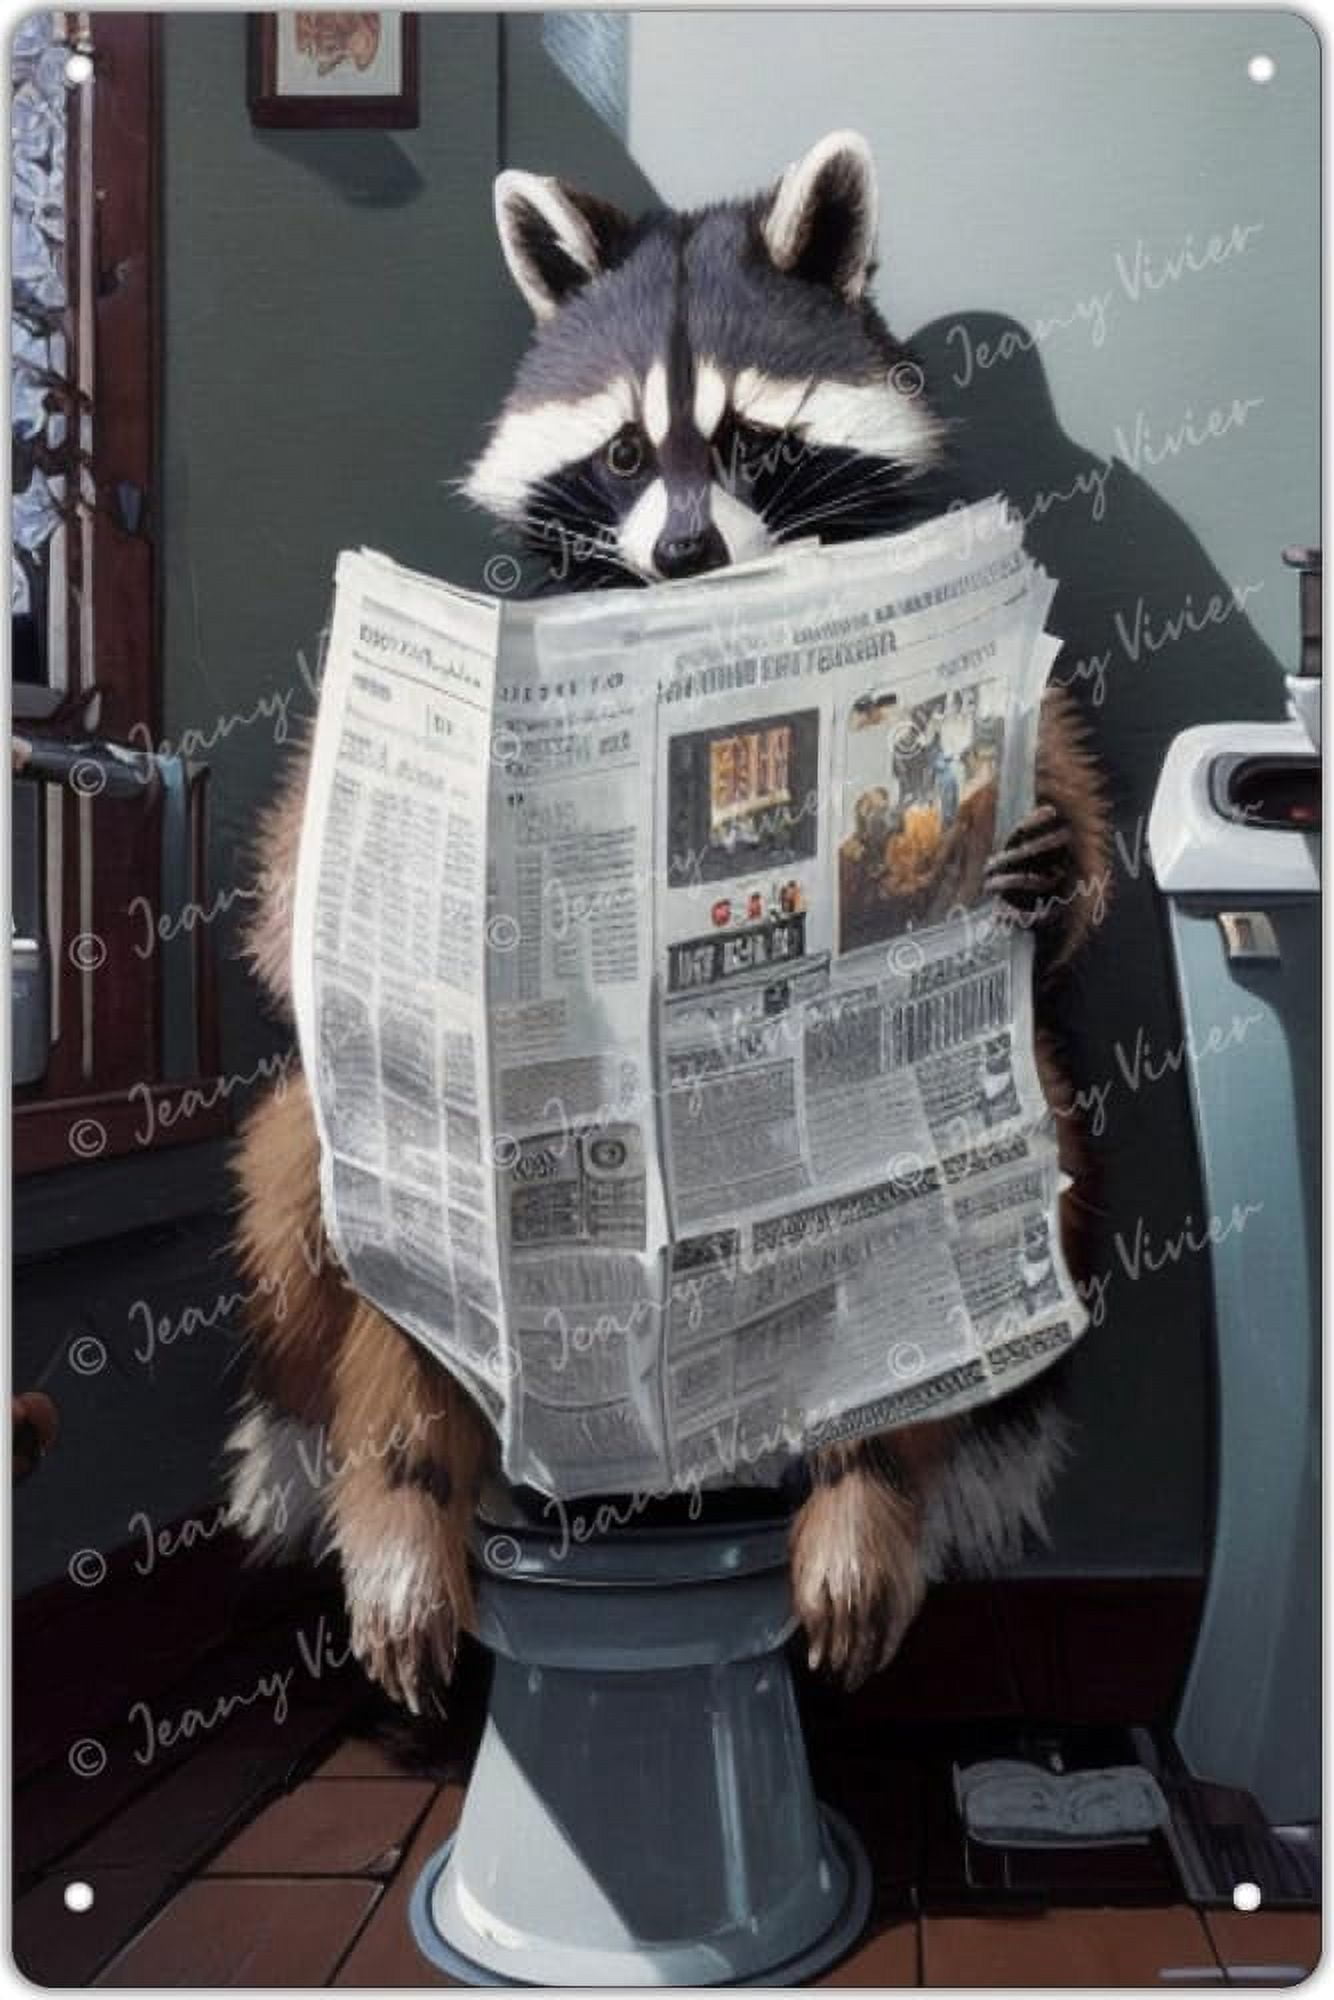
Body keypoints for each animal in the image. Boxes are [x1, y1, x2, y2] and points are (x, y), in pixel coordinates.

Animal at [227, 133, 1109, 1706]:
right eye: (627, 454)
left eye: (752, 441)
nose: (690, 554)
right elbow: (290, 913)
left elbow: (1069, 801)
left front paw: (1052, 861)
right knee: (319, 1164)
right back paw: (403, 1503)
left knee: (1030, 1124)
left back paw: (865, 1491)